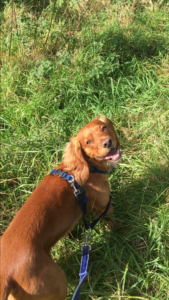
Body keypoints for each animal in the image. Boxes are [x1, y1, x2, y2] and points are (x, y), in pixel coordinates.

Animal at [0, 116, 121, 300]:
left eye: (103, 128)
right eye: (88, 142)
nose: (108, 142)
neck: (84, 167)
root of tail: (6, 275)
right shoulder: (104, 206)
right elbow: (113, 222)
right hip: (58, 282)